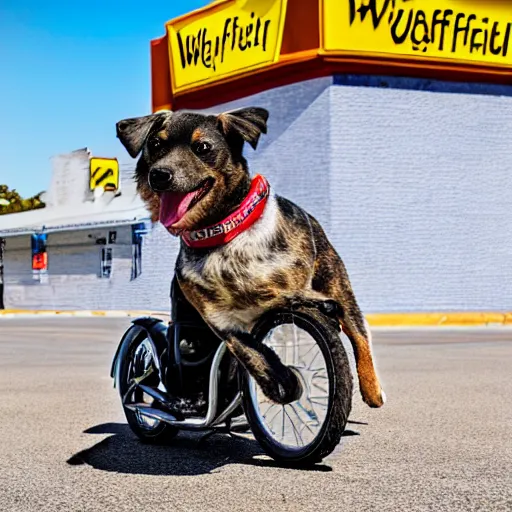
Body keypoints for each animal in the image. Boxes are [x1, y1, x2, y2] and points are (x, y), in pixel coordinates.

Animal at [116, 107, 386, 408]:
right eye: (155, 144)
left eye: (203, 147)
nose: (160, 174)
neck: (222, 233)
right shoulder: (221, 321)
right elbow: (252, 353)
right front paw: (281, 383)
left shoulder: (307, 289)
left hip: (336, 282)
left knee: (356, 331)